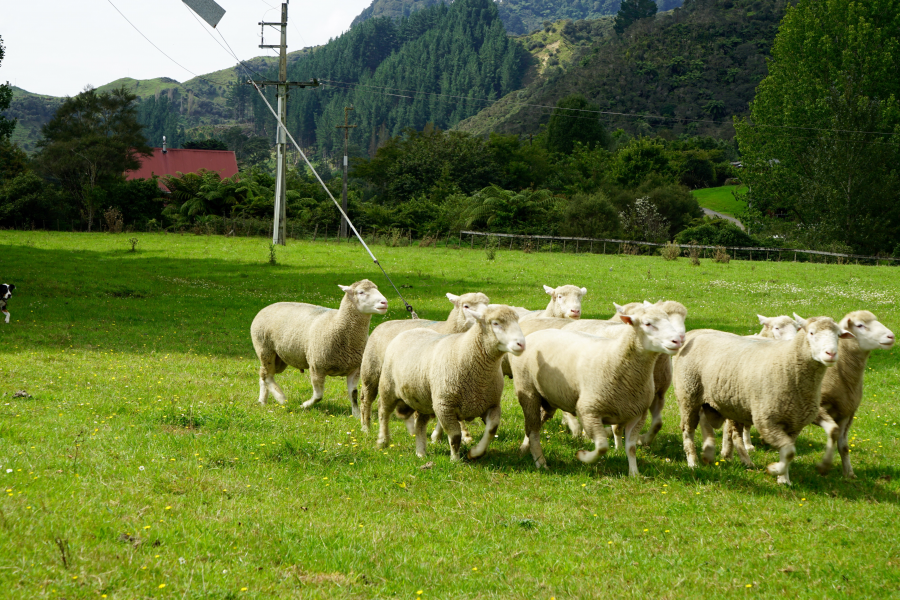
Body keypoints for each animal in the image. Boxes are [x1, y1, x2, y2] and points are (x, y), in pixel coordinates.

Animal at [250, 278, 386, 410]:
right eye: (361, 292)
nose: (384, 302)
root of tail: (266, 307)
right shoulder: (317, 367)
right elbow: (318, 396)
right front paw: (304, 405)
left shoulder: (355, 369)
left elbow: (353, 395)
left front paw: (356, 414)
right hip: (265, 348)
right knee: (267, 376)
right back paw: (281, 398)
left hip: (279, 358)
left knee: (264, 374)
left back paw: (262, 400)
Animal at [356, 290, 488, 432]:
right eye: (466, 306)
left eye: (487, 305)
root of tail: (382, 324)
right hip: (371, 369)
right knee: (366, 399)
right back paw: (366, 427)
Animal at [374, 308, 528, 462]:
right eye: (495, 323)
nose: (522, 344)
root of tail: (410, 331)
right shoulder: (444, 406)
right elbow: (455, 436)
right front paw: (455, 460)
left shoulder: (491, 404)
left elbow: (491, 430)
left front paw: (475, 453)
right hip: (388, 387)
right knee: (383, 412)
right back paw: (383, 441)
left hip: (424, 399)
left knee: (420, 424)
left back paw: (421, 452)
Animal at [510, 308, 680, 476]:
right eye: (647, 323)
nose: (678, 340)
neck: (616, 358)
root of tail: (534, 334)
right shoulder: (589, 411)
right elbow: (602, 446)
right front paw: (583, 456)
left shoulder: (638, 415)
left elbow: (631, 448)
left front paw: (634, 474)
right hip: (528, 391)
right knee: (534, 429)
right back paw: (540, 462)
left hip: (548, 398)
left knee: (535, 424)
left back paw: (524, 450)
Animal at [676, 316, 852, 486]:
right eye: (811, 333)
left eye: (838, 335)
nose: (831, 354)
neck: (789, 366)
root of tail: (694, 332)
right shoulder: (766, 421)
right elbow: (789, 452)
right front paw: (775, 470)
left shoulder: (795, 423)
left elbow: (788, 452)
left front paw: (784, 478)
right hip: (689, 395)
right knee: (688, 429)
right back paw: (693, 462)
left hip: (719, 402)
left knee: (718, 428)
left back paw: (718, 455)